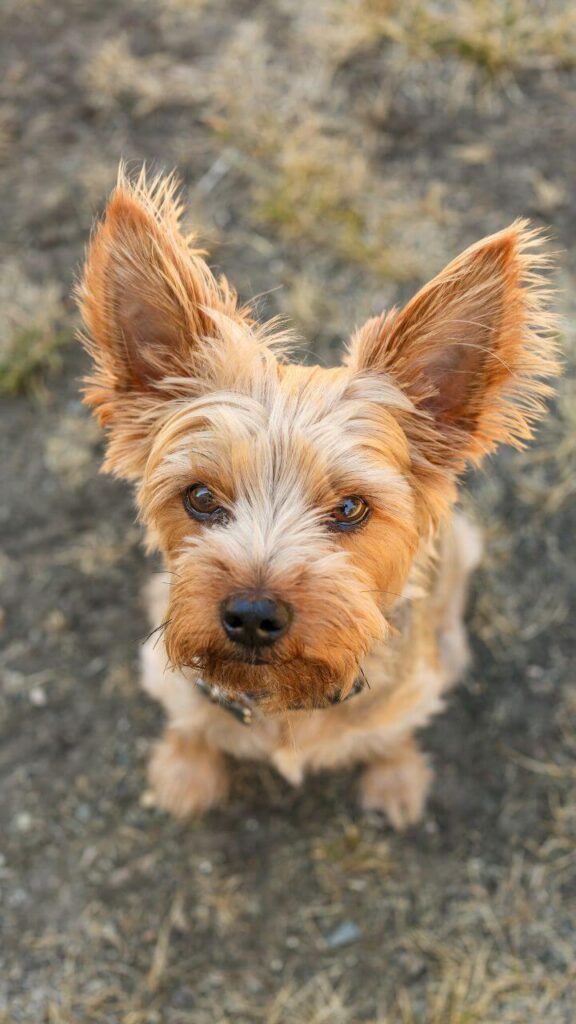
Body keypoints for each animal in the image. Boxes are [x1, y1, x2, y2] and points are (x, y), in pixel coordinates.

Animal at [76, 165, 557, 823]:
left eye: (351, 507)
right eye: (199, 497)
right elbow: (190, 723)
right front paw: (184, 773)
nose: (253, 615)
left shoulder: (409, 693)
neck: (283, 700)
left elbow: (393, 732)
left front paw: (395, 779)